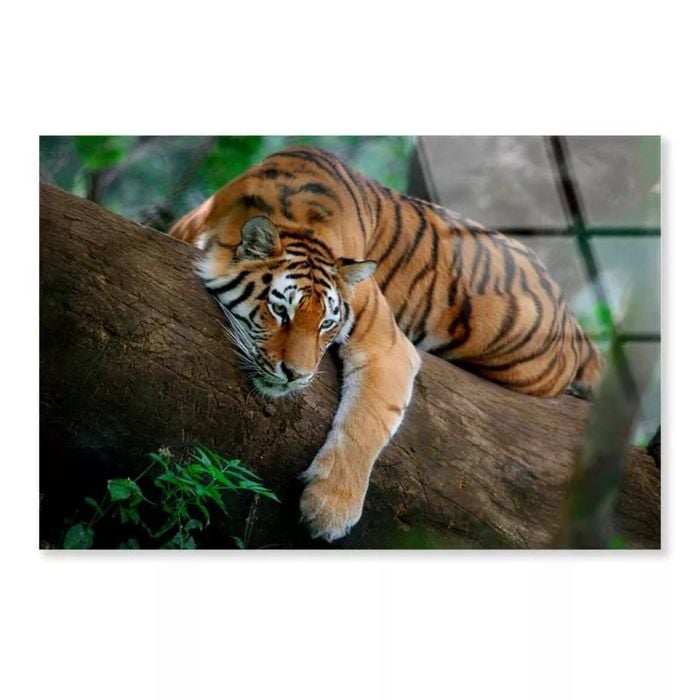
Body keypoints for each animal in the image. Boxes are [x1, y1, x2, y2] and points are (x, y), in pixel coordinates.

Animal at [169, 146, 603, 542]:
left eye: (327, 324)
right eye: (280, 311)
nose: (296, 375)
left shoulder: (387, 344)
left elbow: (365, 422)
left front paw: (330, 509)